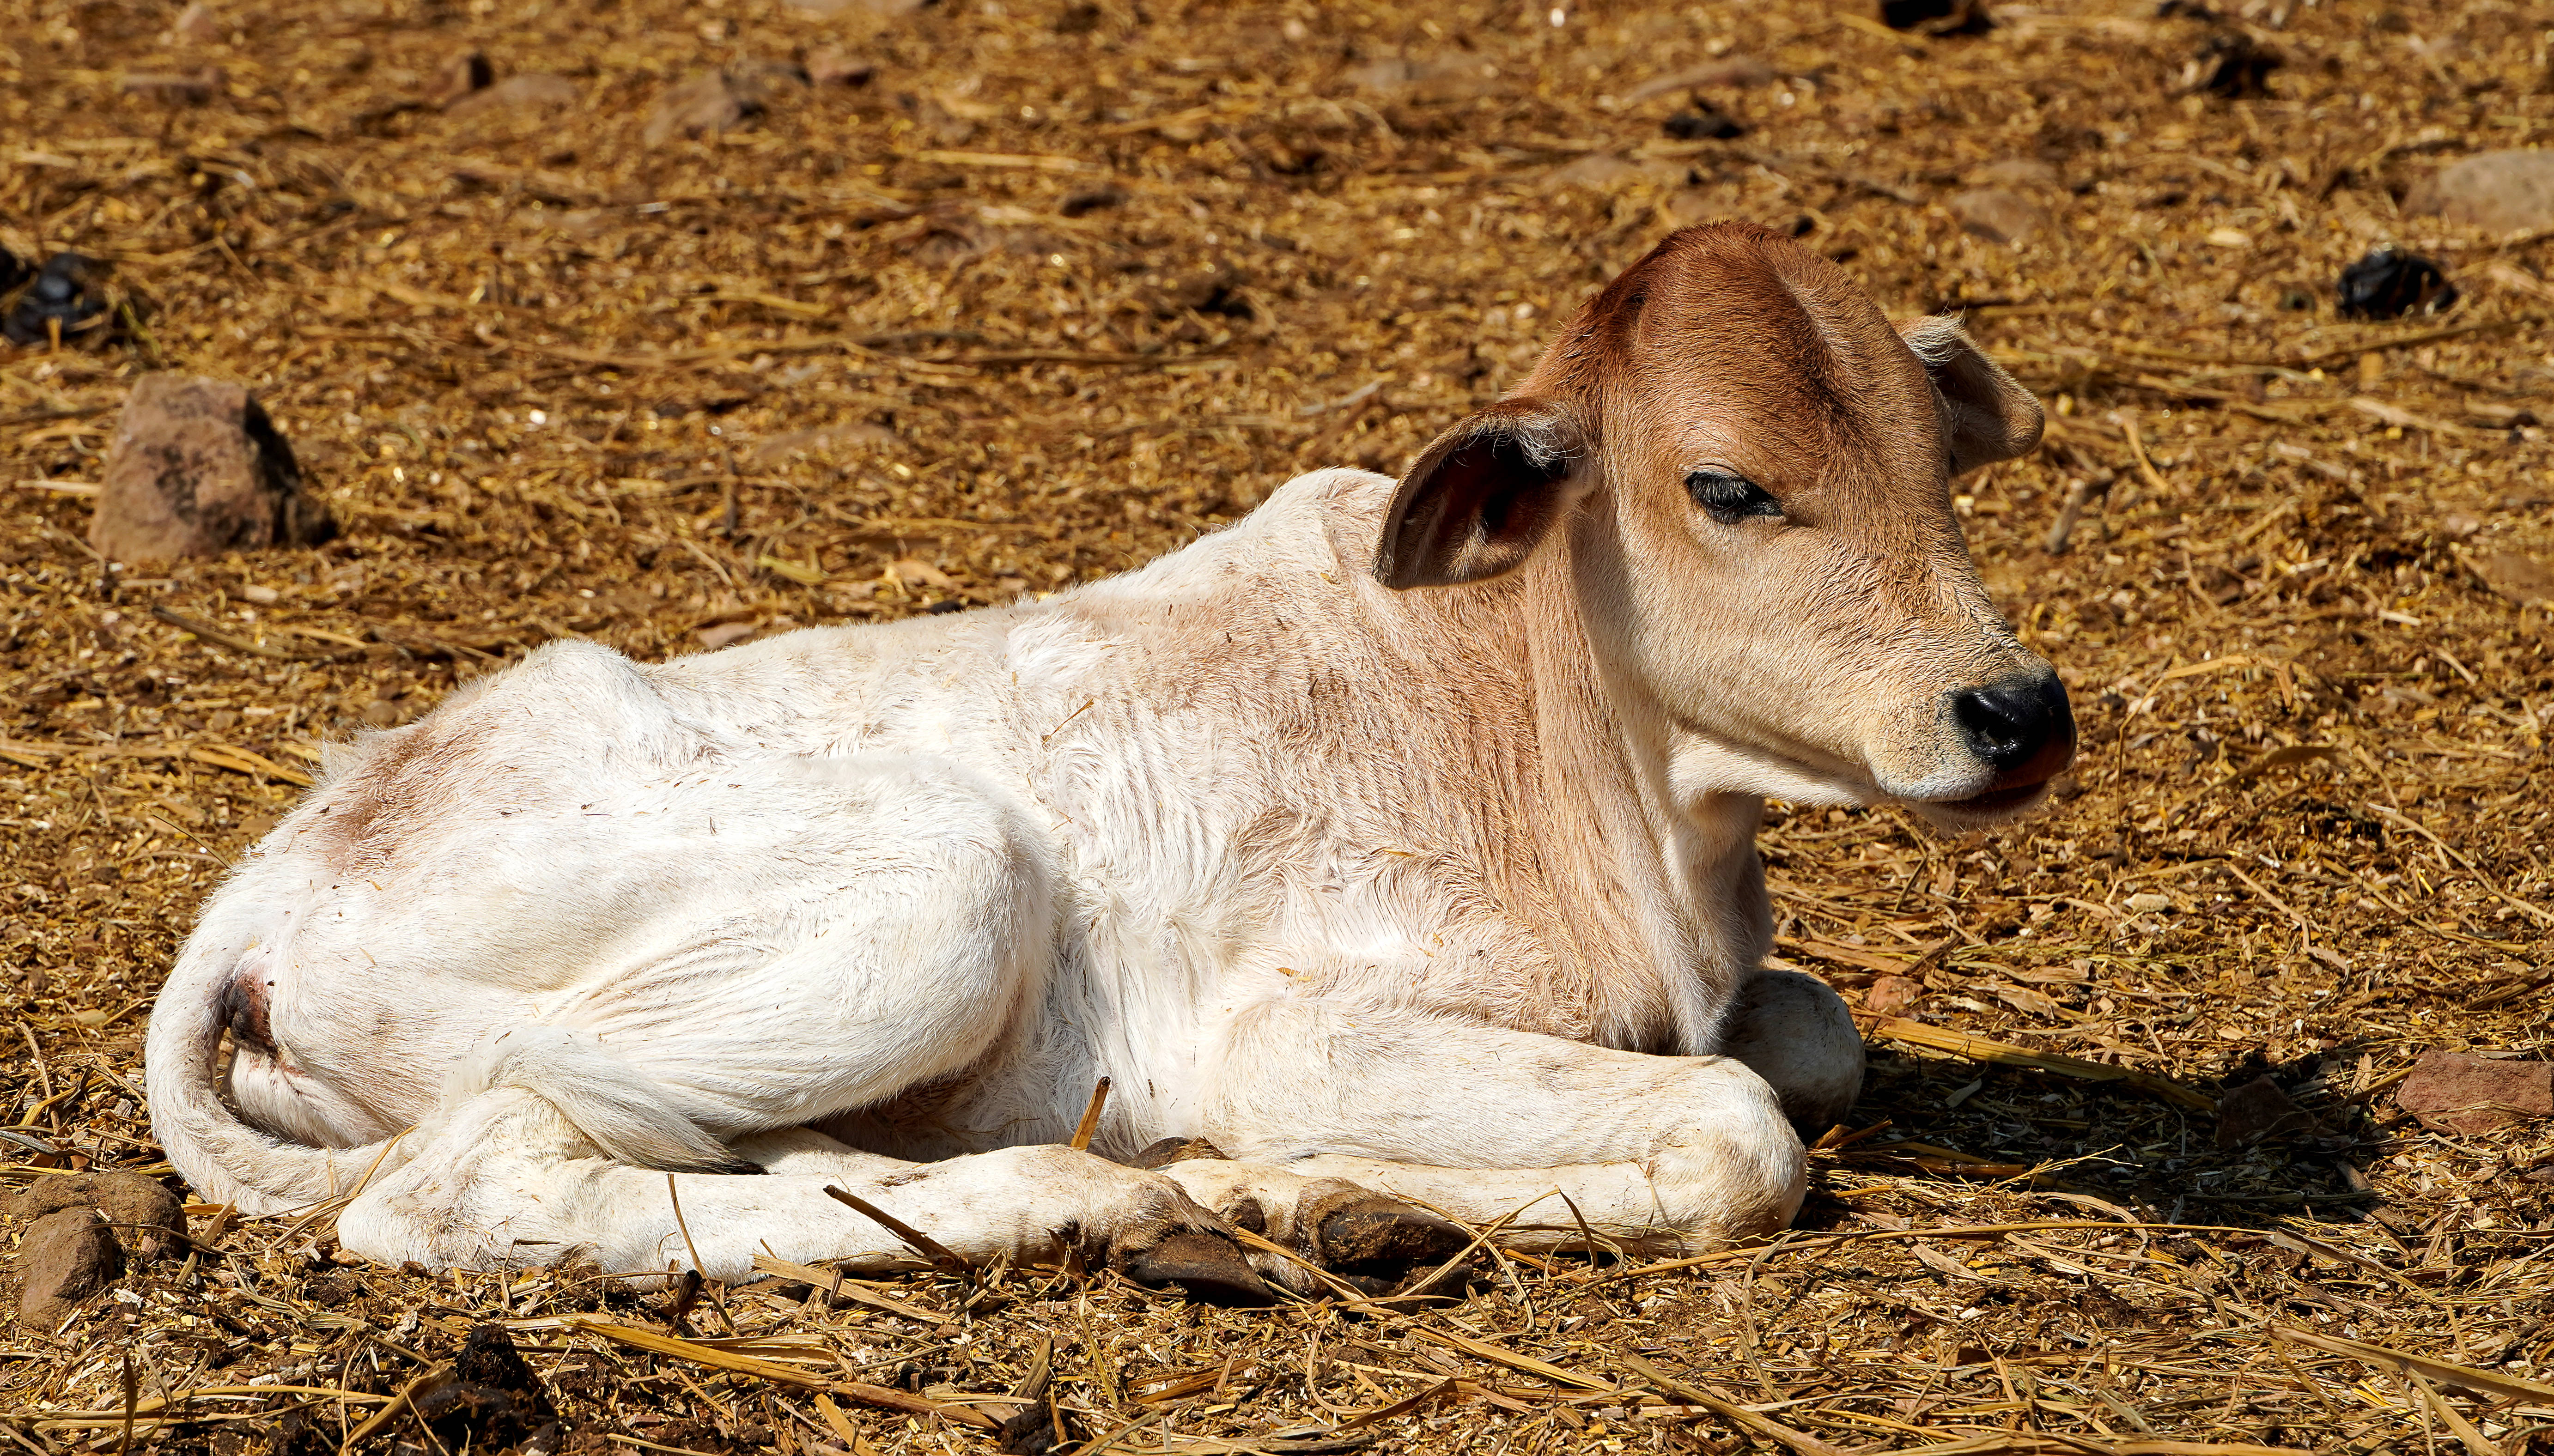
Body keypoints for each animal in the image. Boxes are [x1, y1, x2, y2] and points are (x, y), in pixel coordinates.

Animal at [144, 222, 2069, 1300]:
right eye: (1724, 485)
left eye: (1940, 457)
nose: (2014, 709)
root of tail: (277, 873)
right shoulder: (1304, 1021)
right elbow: (1744, 1128)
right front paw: (1297, 1184)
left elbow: (1807, 1043)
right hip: (938, 887)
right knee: (467, 1177)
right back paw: (1079, 1197)